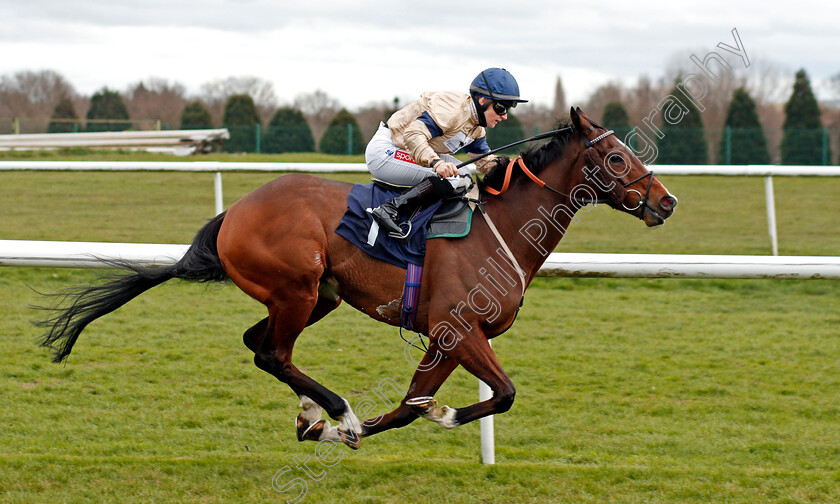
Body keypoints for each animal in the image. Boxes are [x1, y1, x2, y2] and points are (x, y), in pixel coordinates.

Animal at [42, 107, 680, 448]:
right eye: (617, 157)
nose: (666, 202)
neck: (499, 228)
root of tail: (234, 213)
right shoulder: (456, 327)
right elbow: (500, 393)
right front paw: (420, 417)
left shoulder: (448, 337)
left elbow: (411, 405)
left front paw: (350, 428)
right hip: (297, 288)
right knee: (272, 353)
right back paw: (336, 409)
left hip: (314, 296)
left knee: (260, 346)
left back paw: (313, 415)